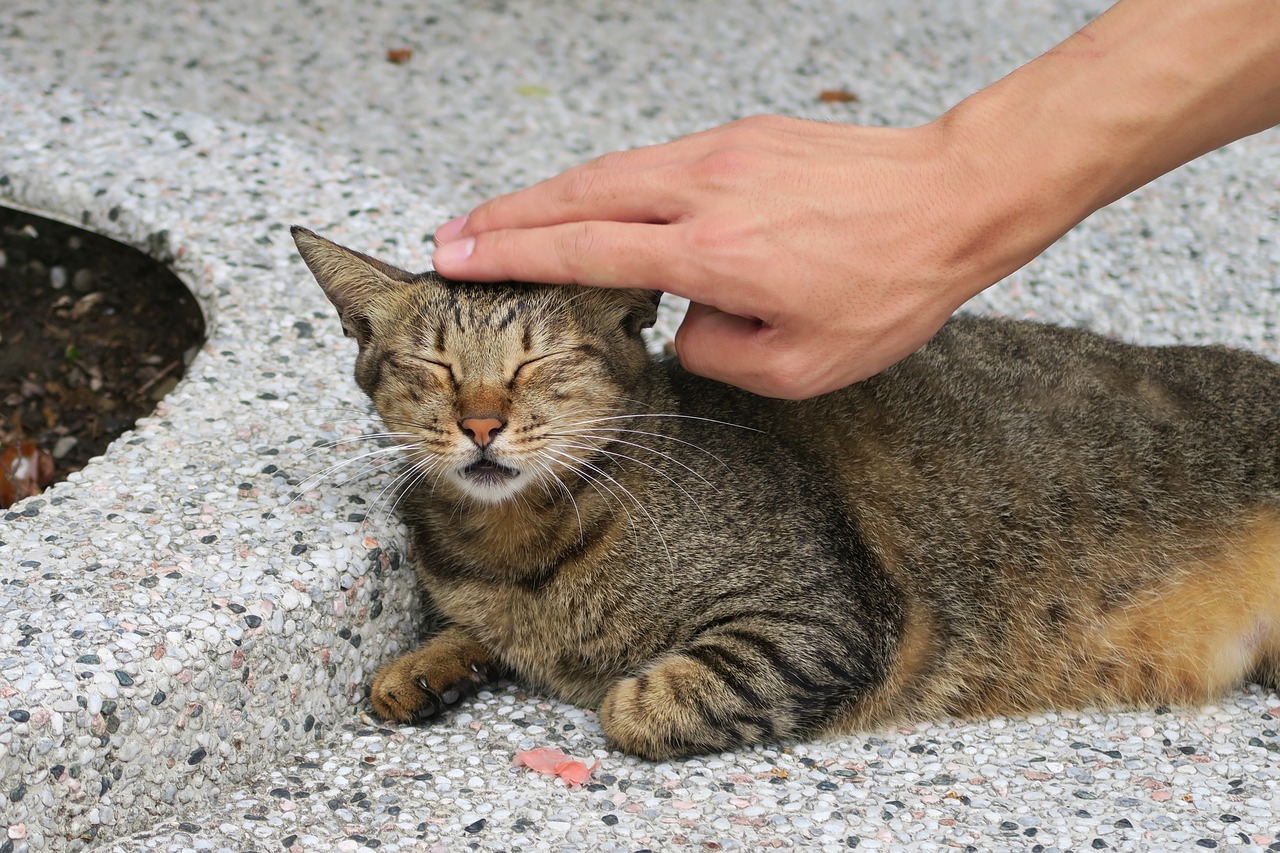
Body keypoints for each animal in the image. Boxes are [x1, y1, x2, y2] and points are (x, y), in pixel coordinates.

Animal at [290, 225, 1280, 758]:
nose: (482, 424)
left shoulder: (821, 621)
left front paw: (607, 684)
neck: (510, 546)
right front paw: (430, 663)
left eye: (540, 362)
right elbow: (471, 631)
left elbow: (639, 700)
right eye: (432, 366)